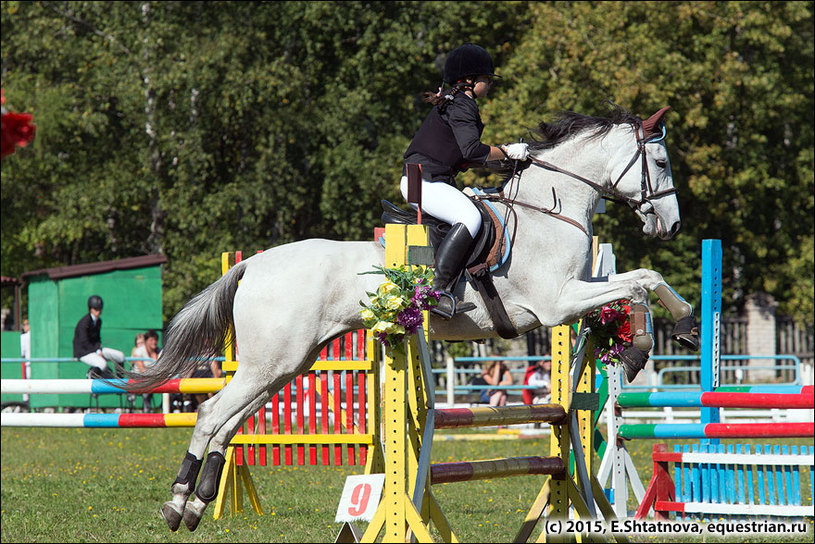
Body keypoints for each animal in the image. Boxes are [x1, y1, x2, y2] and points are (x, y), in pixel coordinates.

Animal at [137, 105, 700, 532]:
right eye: (660, 161)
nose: (671, 225)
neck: (550, 212)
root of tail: (252, 263)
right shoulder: (559, 302)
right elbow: (642, 280)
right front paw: (649, 344)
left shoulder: (578, 293)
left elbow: (641, 280)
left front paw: (661, 334)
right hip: (269, 362)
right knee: (211, 414)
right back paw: (179, 500)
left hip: (285, 365)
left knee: (229, 422)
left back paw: (196, 503)